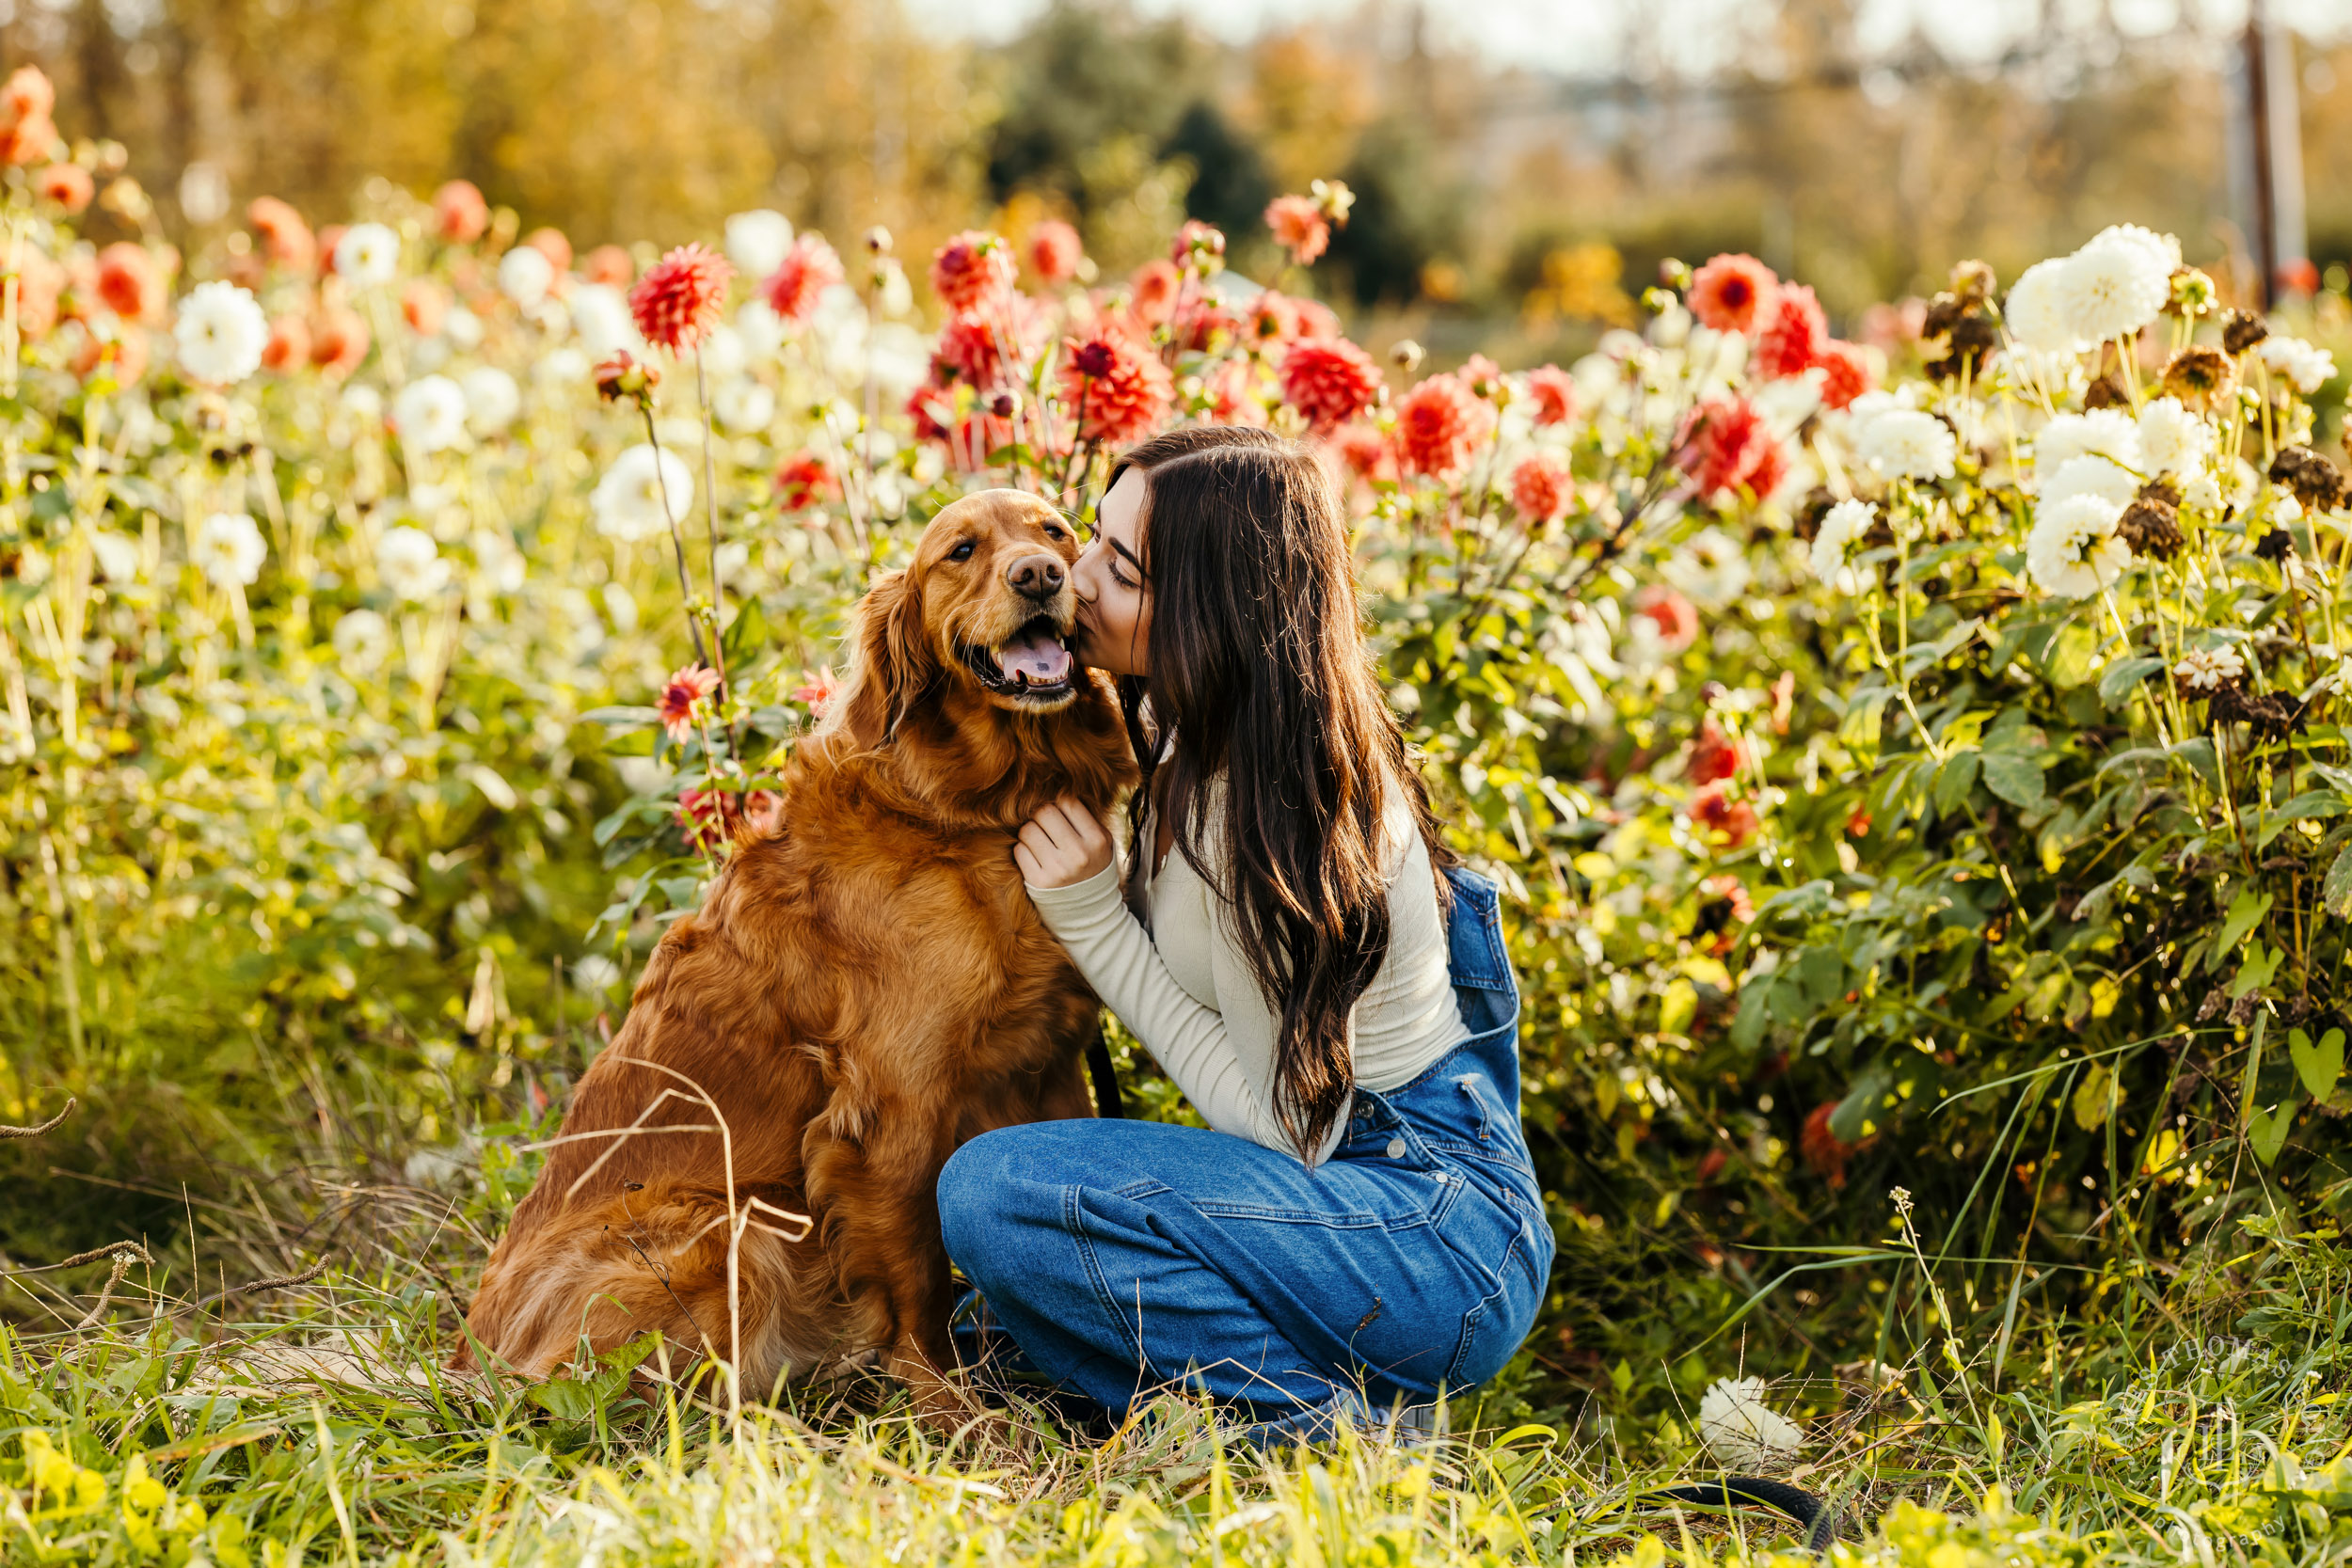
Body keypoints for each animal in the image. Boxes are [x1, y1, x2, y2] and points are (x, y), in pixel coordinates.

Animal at [461, 486, 1138, 1410]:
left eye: (1057, 532)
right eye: (961, 551)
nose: (1039, 576)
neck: (975, 810)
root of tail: (470, 1359)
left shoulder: (1047, 1066)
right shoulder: (891, 1107)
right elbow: (920, 1280)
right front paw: (949, 1412)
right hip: (736, 1230)